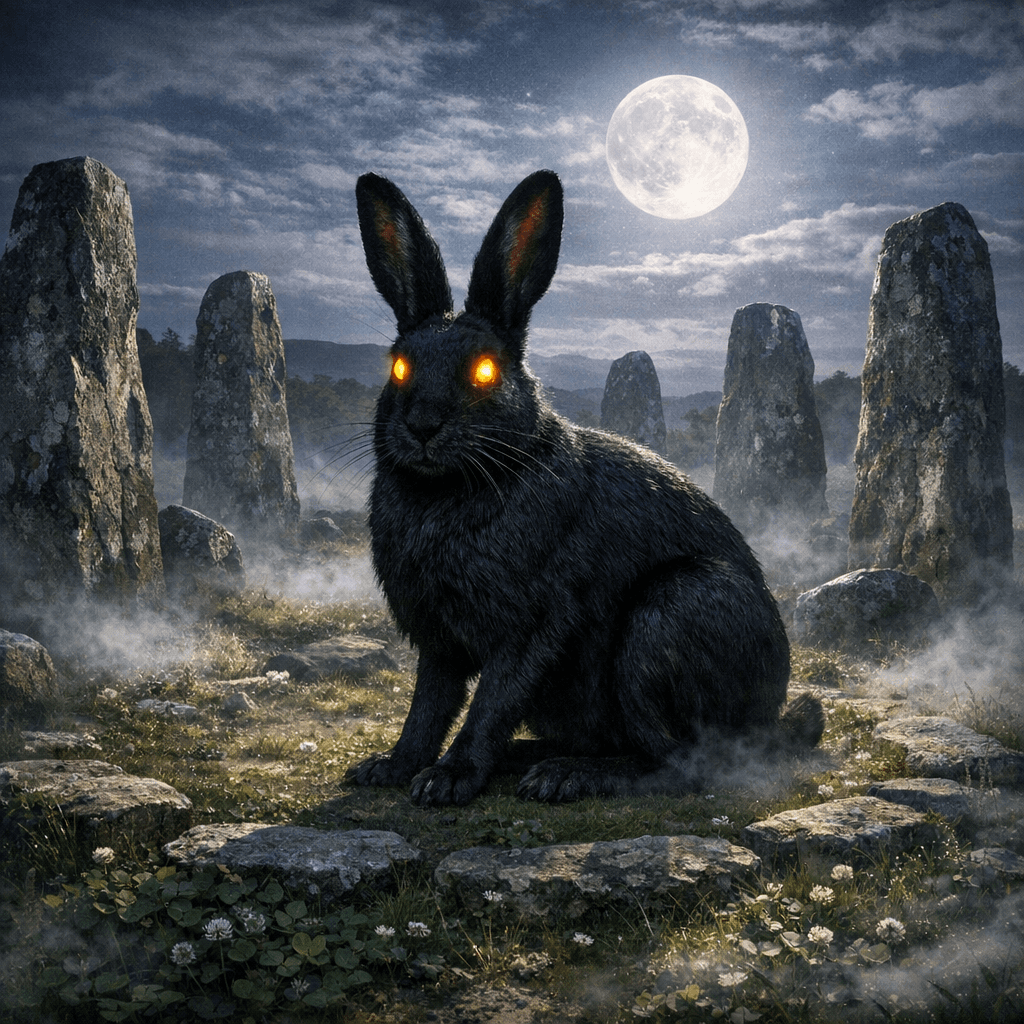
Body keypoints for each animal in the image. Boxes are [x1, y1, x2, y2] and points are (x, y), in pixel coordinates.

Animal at [347, 168, 823, 806]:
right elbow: (427, 707)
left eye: (485, 371)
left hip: (666, 620)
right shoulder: (438, 642)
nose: (422, 426)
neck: (453, 488)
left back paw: (567, 776)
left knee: (680, 763)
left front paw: (448, 779)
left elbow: (490, 703)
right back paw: (531, 760)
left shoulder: (530, 626)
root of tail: (770, 720)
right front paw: (391, 769)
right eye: (398, 367)